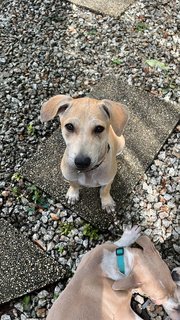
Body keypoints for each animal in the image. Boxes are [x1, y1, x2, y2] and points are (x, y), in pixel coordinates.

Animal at [45, 226, 179, 318]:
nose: (177, 306)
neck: (120, 264)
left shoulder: (92, 254)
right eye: (155, 298)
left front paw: (130, 235)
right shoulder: (123, 313)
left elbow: (115, 244)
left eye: (174, 286)